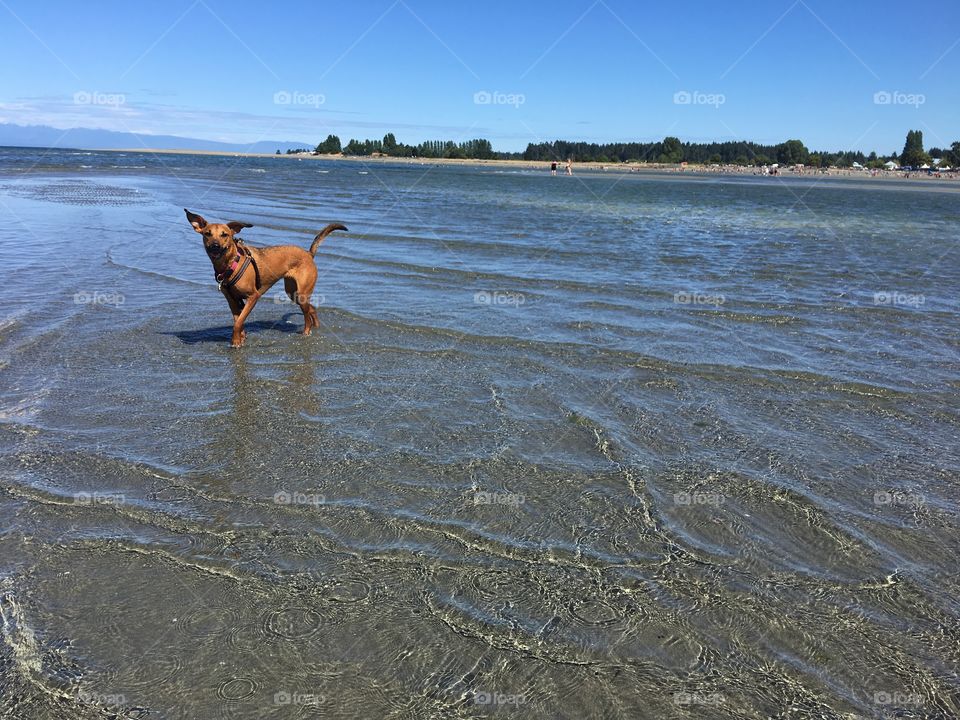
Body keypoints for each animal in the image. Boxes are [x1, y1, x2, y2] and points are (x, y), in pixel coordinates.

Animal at [183, 208, 344, 346]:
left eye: (225, 235)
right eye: (207, 234)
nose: (215, 246)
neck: (230, 265)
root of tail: (308, 253)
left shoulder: (253, 296)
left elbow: (238, 322)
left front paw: (236, 342)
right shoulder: (232, 300)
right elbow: (238, 320)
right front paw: (240, 338)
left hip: (301, 292)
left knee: (307, 315)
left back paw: (307, 332)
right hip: (292, 292)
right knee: (312, 309)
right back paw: (316, 327)